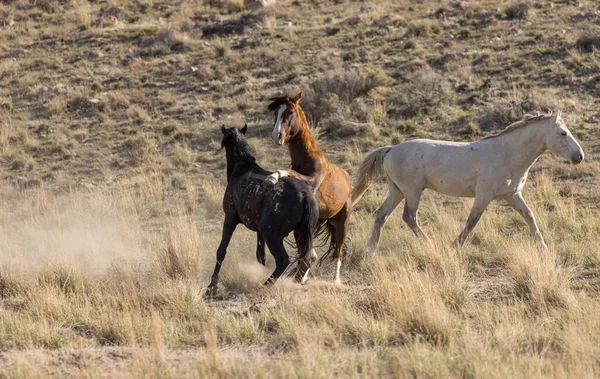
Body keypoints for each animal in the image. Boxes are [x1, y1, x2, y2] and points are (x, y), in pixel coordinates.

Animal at [206, 125, 318, 296]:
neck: (242, 168)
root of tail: (305, 195)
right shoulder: (259, 232)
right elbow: (261, 257)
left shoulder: (230, 218)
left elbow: (221, 250)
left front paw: (212, 285)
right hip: (300, 233)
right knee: (305, 259)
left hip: (271, 234)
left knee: (283, 260)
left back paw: (265, 285)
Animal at [266, 90, 352, 284]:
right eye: (275, 113)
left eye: (290, 112)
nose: (276, 136)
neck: (307, 157)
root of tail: (346, 176)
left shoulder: (312, 181)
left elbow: (289, 172)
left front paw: (272, 177)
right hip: (316, 220)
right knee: (309, 251)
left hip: (342, 221)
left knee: (338, 251)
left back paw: (336, 281)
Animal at [352, 111, 584, 251]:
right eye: (563, 133)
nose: (579, 156)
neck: (507, 154)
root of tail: (391, 149)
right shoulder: (484, 195)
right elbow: (472, 221)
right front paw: (455, 244)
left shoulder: (512, 195)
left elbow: (529, 216)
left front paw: (542, 246)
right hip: (412, 190)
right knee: (409, 217)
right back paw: (429, 243)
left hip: (397, 190)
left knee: (381, 215)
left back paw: (370, 248)